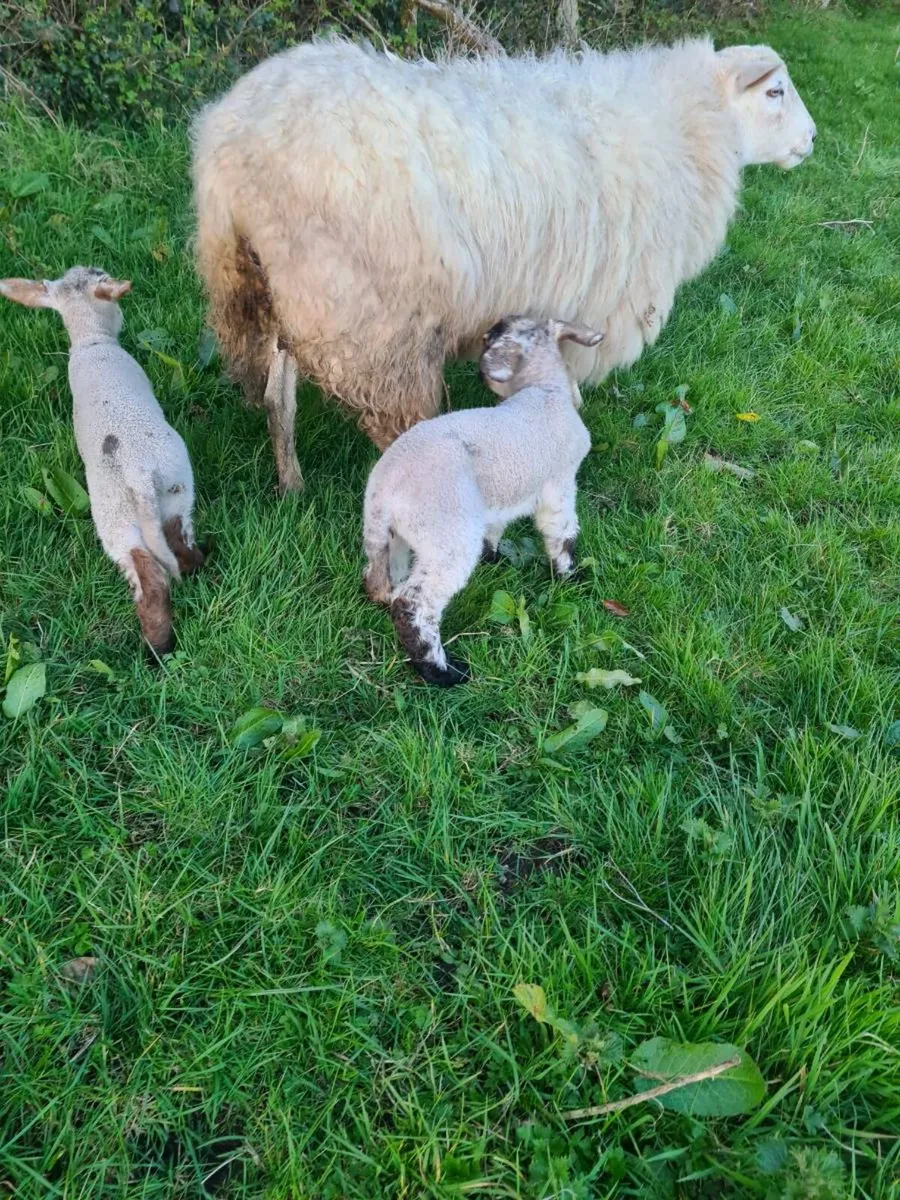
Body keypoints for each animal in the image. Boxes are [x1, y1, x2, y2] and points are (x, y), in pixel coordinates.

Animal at [0, 267, 205, 657]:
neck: (92, 342)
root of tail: (138, 475)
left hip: (143, 511)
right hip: (165, 492)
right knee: (166, 562)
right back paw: (161, 644)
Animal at [191, 35, 816, 494]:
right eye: (775, 92)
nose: (811, 139)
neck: (686, 130)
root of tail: (233, 149)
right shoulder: (593, 293)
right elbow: (569, 369)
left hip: (279, 292)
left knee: (277, 398)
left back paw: (291, 486)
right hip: (370, 318)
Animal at [363, 315, 602, 686]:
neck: (544, 390)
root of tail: (385, 487)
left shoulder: (495, 498)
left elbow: (496, 526)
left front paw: (494, 558)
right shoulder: (560, 485)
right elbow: (561, 534)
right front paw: (569, 577)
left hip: (390, 540)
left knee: (380, 583)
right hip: (448, 538)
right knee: (414, 604)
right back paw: (443, 672)